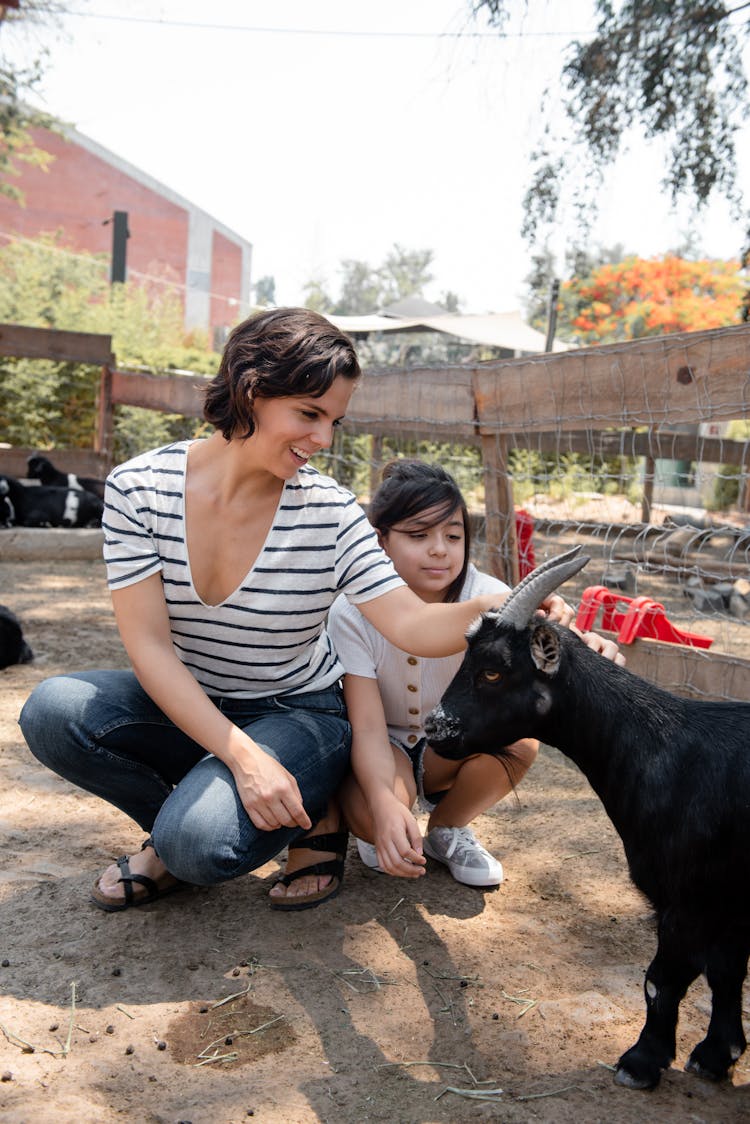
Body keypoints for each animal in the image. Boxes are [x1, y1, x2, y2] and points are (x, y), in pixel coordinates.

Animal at [425, 548, 750, 1092]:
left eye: (492, 671)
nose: (434, 728)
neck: (669, 751)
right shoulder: (726, 901)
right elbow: (726, 971)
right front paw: (715, 1055)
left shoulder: (688, 898)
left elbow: (662, 980)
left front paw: (641, 1062)